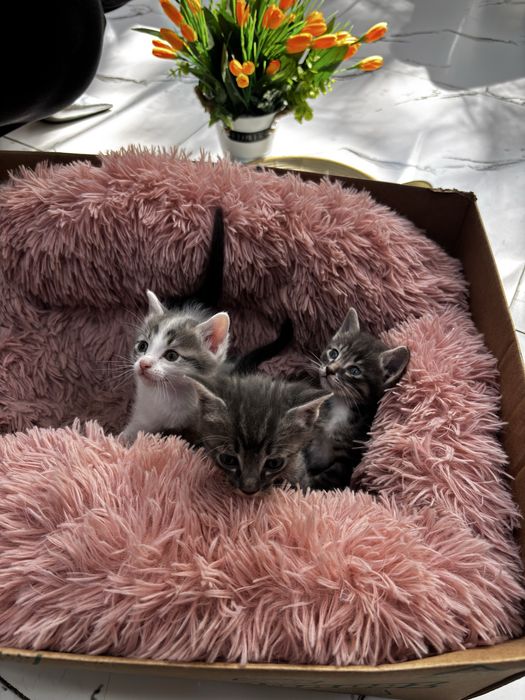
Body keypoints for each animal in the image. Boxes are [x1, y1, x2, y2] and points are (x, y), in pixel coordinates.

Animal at [306, 308, 410, 490]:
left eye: (354, 371)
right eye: (334, 353)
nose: (329, 369)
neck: (340, 403)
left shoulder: (347, 460)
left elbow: (324, 479)